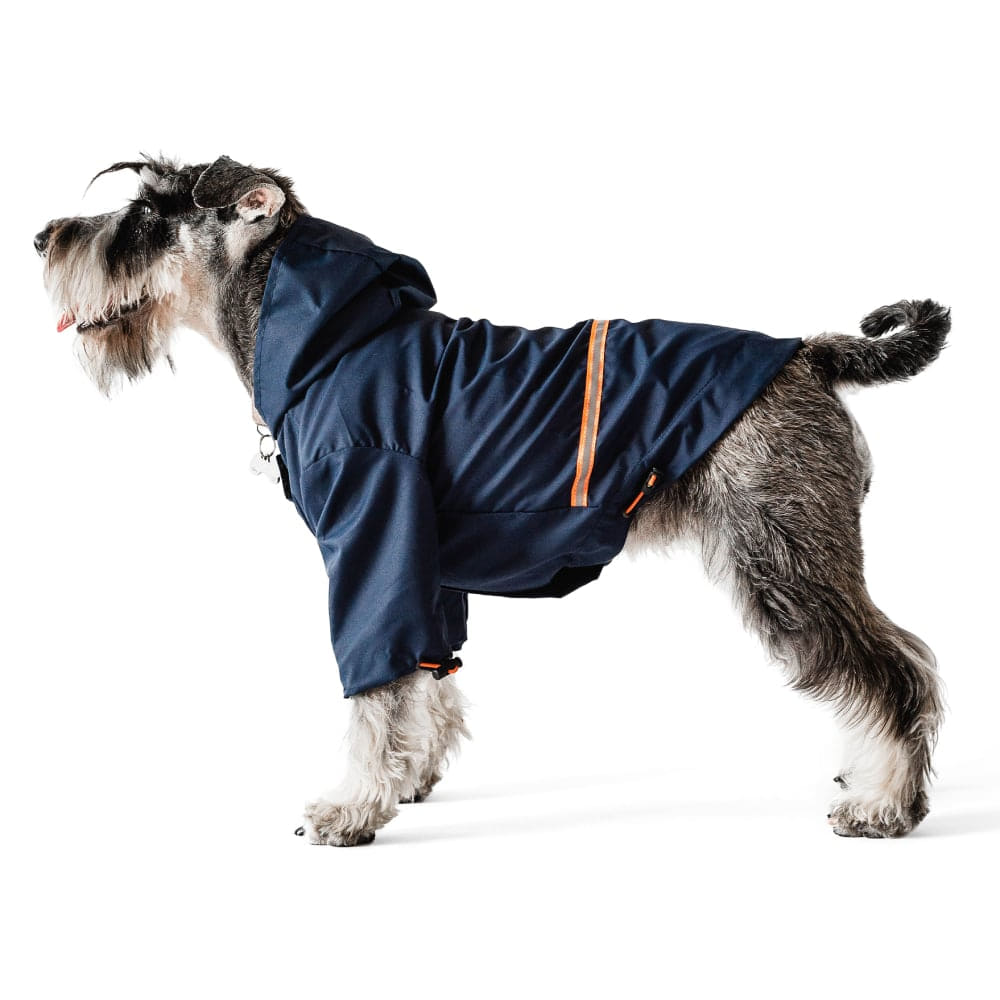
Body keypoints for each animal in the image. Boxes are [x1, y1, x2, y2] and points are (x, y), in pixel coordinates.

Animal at [36, 154, 949, 844]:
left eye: (148, 212)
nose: (43, 236)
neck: (326, 341)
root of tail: (808, 351)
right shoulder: (424, 562)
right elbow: (426, 670)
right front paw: (408, 777)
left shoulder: (371, 538)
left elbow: (373, 682)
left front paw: (349, 807)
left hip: (782, 559)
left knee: (895, 670)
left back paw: (884, 804)